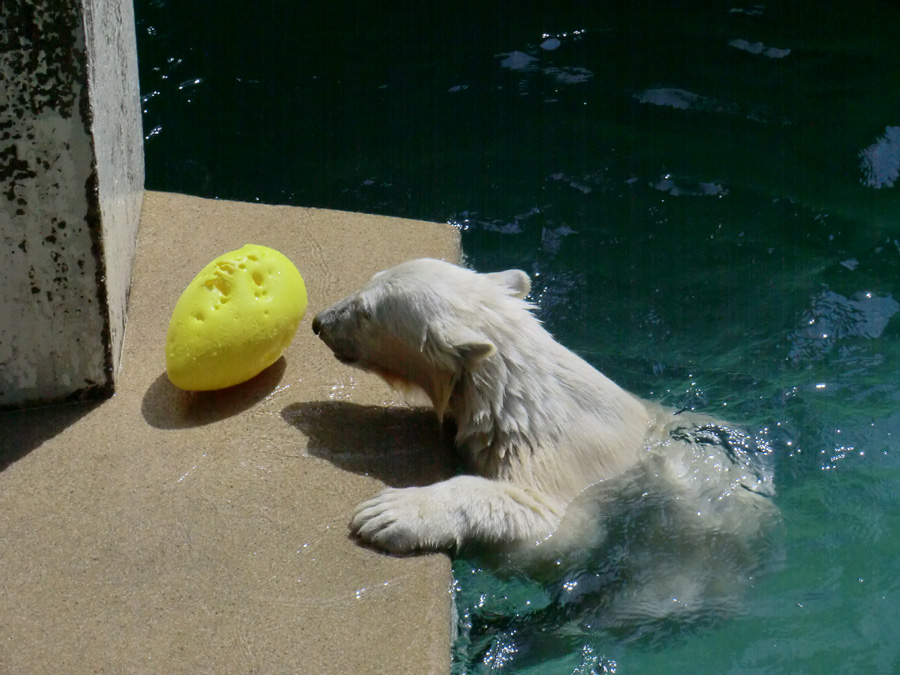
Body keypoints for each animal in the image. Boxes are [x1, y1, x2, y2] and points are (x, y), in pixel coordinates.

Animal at [310, 258, 772, 564]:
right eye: (368, 281)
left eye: (366, 312)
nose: (320, 322)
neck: (515, 398)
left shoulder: (563, 460)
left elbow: (552, 527)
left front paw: (388, 514)